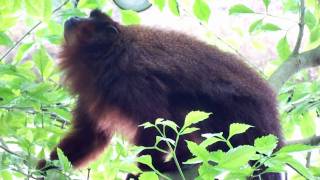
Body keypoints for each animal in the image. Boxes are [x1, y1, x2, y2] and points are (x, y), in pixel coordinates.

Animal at [40, 9, 282, 179]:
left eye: (87, 20)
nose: (74, 16)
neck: (106, 58)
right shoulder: (92, 91)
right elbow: (90, 135)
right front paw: (47, 167)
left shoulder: (133, 79)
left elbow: (154, 122)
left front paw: (149, 170)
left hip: (240, 118)